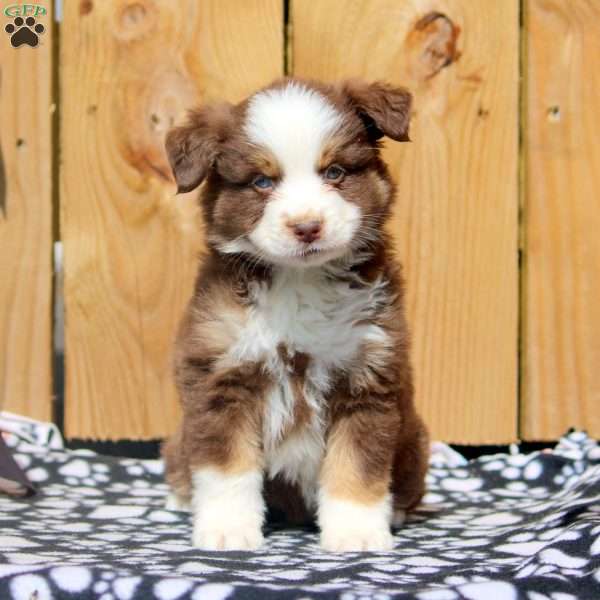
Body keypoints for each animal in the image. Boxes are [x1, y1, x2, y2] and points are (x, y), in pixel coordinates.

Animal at [162, 77, 428, 552]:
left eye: (335, 173)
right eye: (262, 181)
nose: (307, 227)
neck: (300, 280)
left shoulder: (368, 377)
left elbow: (357, 466)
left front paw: (357, 533)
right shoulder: (221, 376)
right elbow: (227, 467)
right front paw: (228, 530)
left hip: (414, 439)